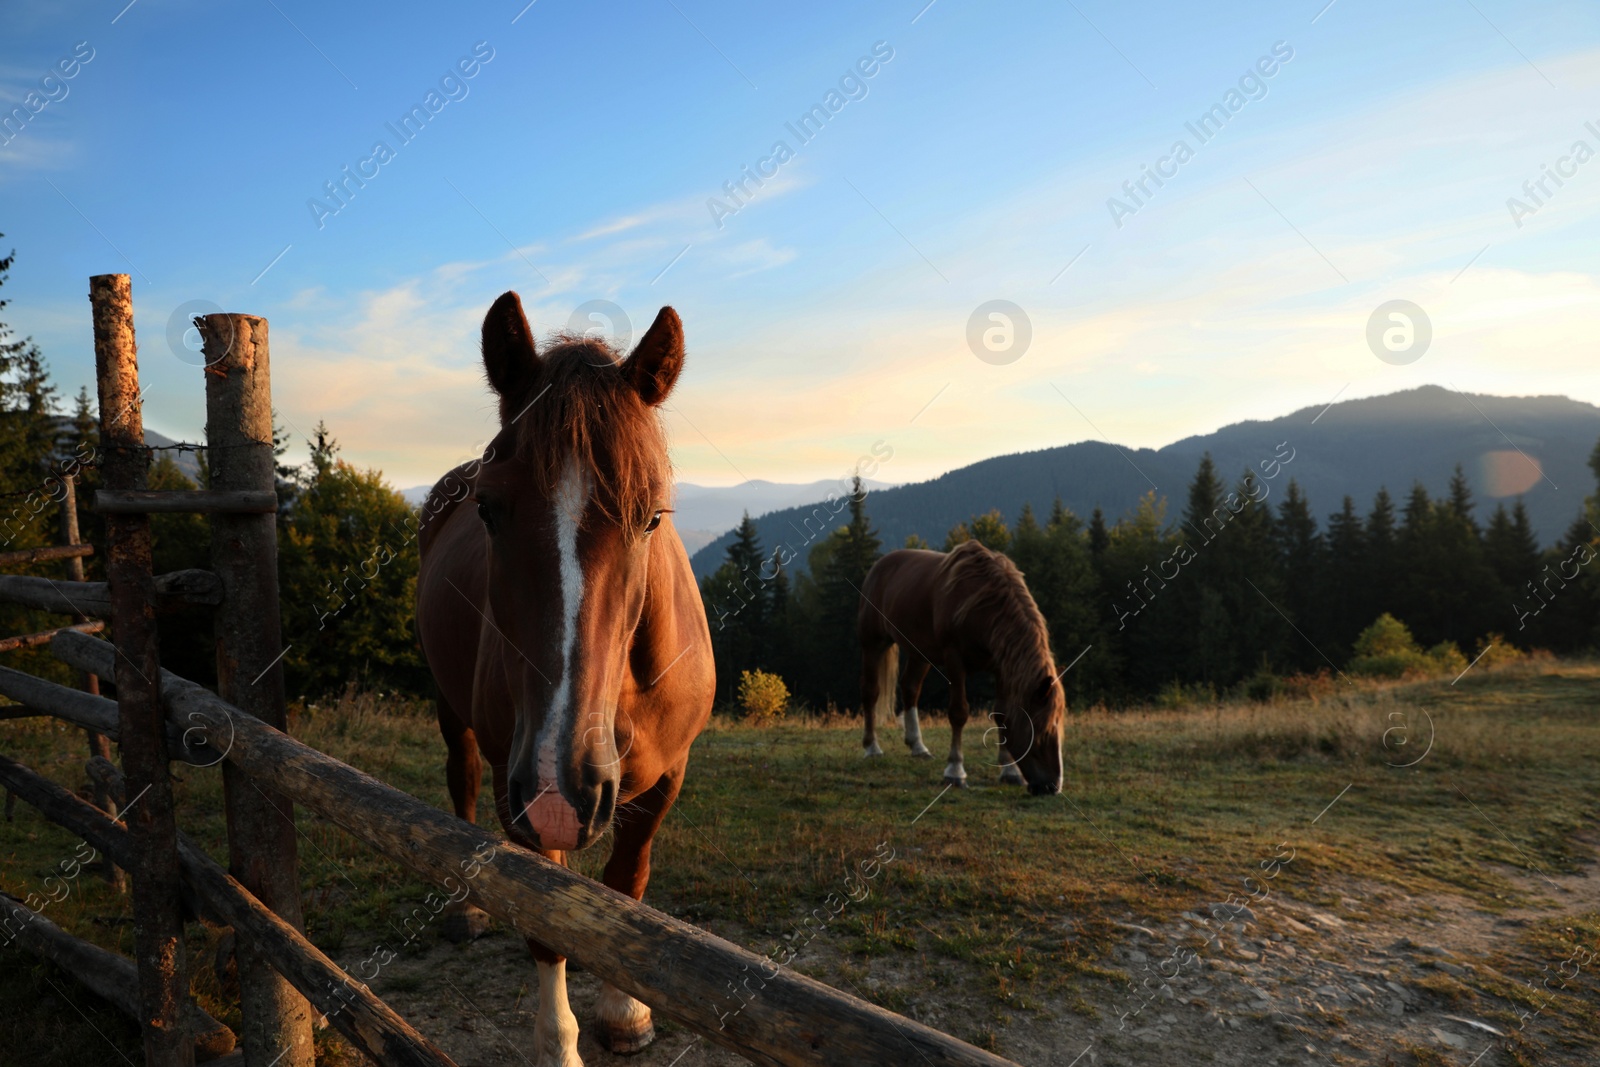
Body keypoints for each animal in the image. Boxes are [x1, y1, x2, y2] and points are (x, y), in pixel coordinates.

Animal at [419, 292, 713, 1067]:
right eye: (488, 509)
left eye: (652, 515)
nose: (563, 783)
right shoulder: (518, 786)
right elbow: (546, 922)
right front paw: (559, 1043)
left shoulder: (667, 776)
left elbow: (627, 885)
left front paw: (625, 1011)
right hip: (456, 714)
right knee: (459, 783)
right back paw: (467, 908)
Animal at [857, 543, 1068, 793]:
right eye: (1042, 729)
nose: (1052, 786)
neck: (982, 605)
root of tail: (879, 565)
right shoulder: (954, 659)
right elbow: (958, 713)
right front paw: (955, 771)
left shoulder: (1001, 666)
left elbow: (1002, 713)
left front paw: (1009, 772)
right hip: (873, 642)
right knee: (871, 691)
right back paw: (872, 748)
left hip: (920, 653)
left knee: (910, 688)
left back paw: (918, 746)